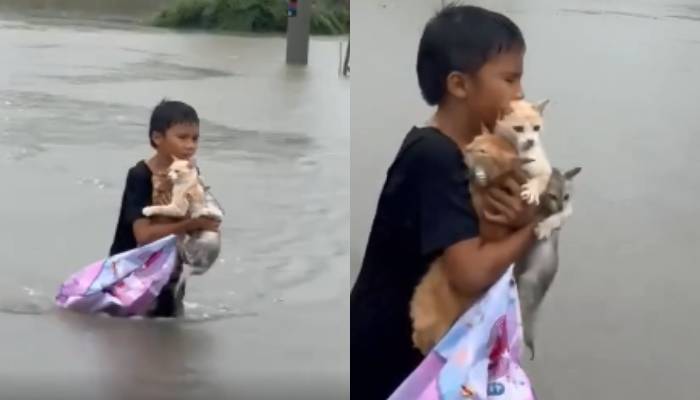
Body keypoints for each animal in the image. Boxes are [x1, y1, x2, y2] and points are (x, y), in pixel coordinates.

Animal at [516, 166, 580, 360]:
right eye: (552, 196)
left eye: (566, 196)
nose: (560, 206)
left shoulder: (567, 211)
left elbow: (558, 218)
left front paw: (545, 227)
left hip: (527, 286)